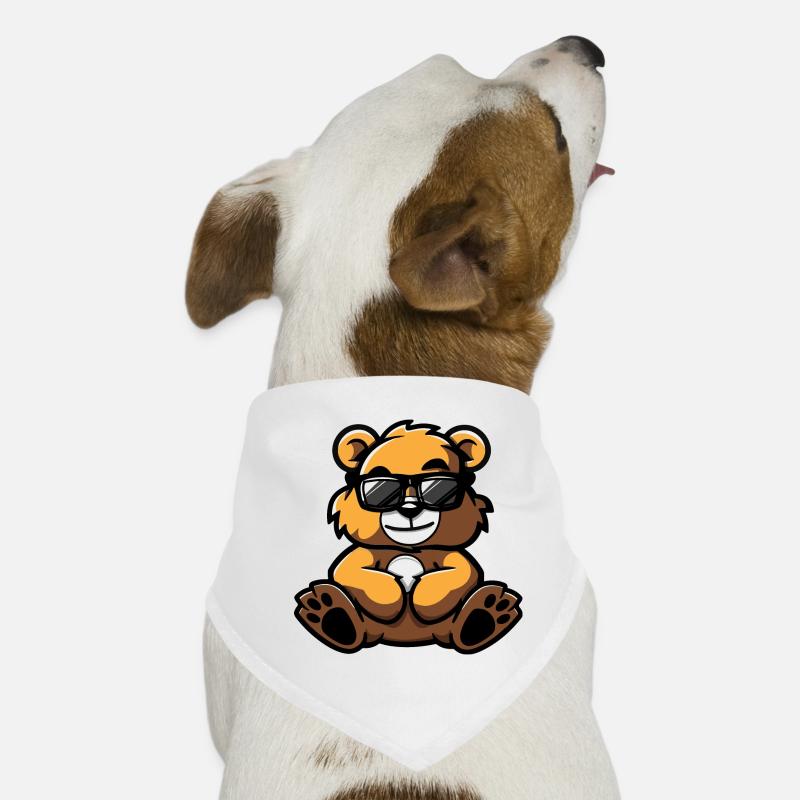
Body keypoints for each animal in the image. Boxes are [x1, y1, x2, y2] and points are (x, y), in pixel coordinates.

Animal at [294, 420, 522, 654]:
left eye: (440, 487)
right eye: (381, 488)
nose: (410, 509)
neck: (408, 549)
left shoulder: (451, 556)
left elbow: (463, 571)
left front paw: (424, 595)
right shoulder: (362, 555)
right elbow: (349, 570)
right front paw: (389, 594)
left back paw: (486, 613)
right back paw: (330, 612)